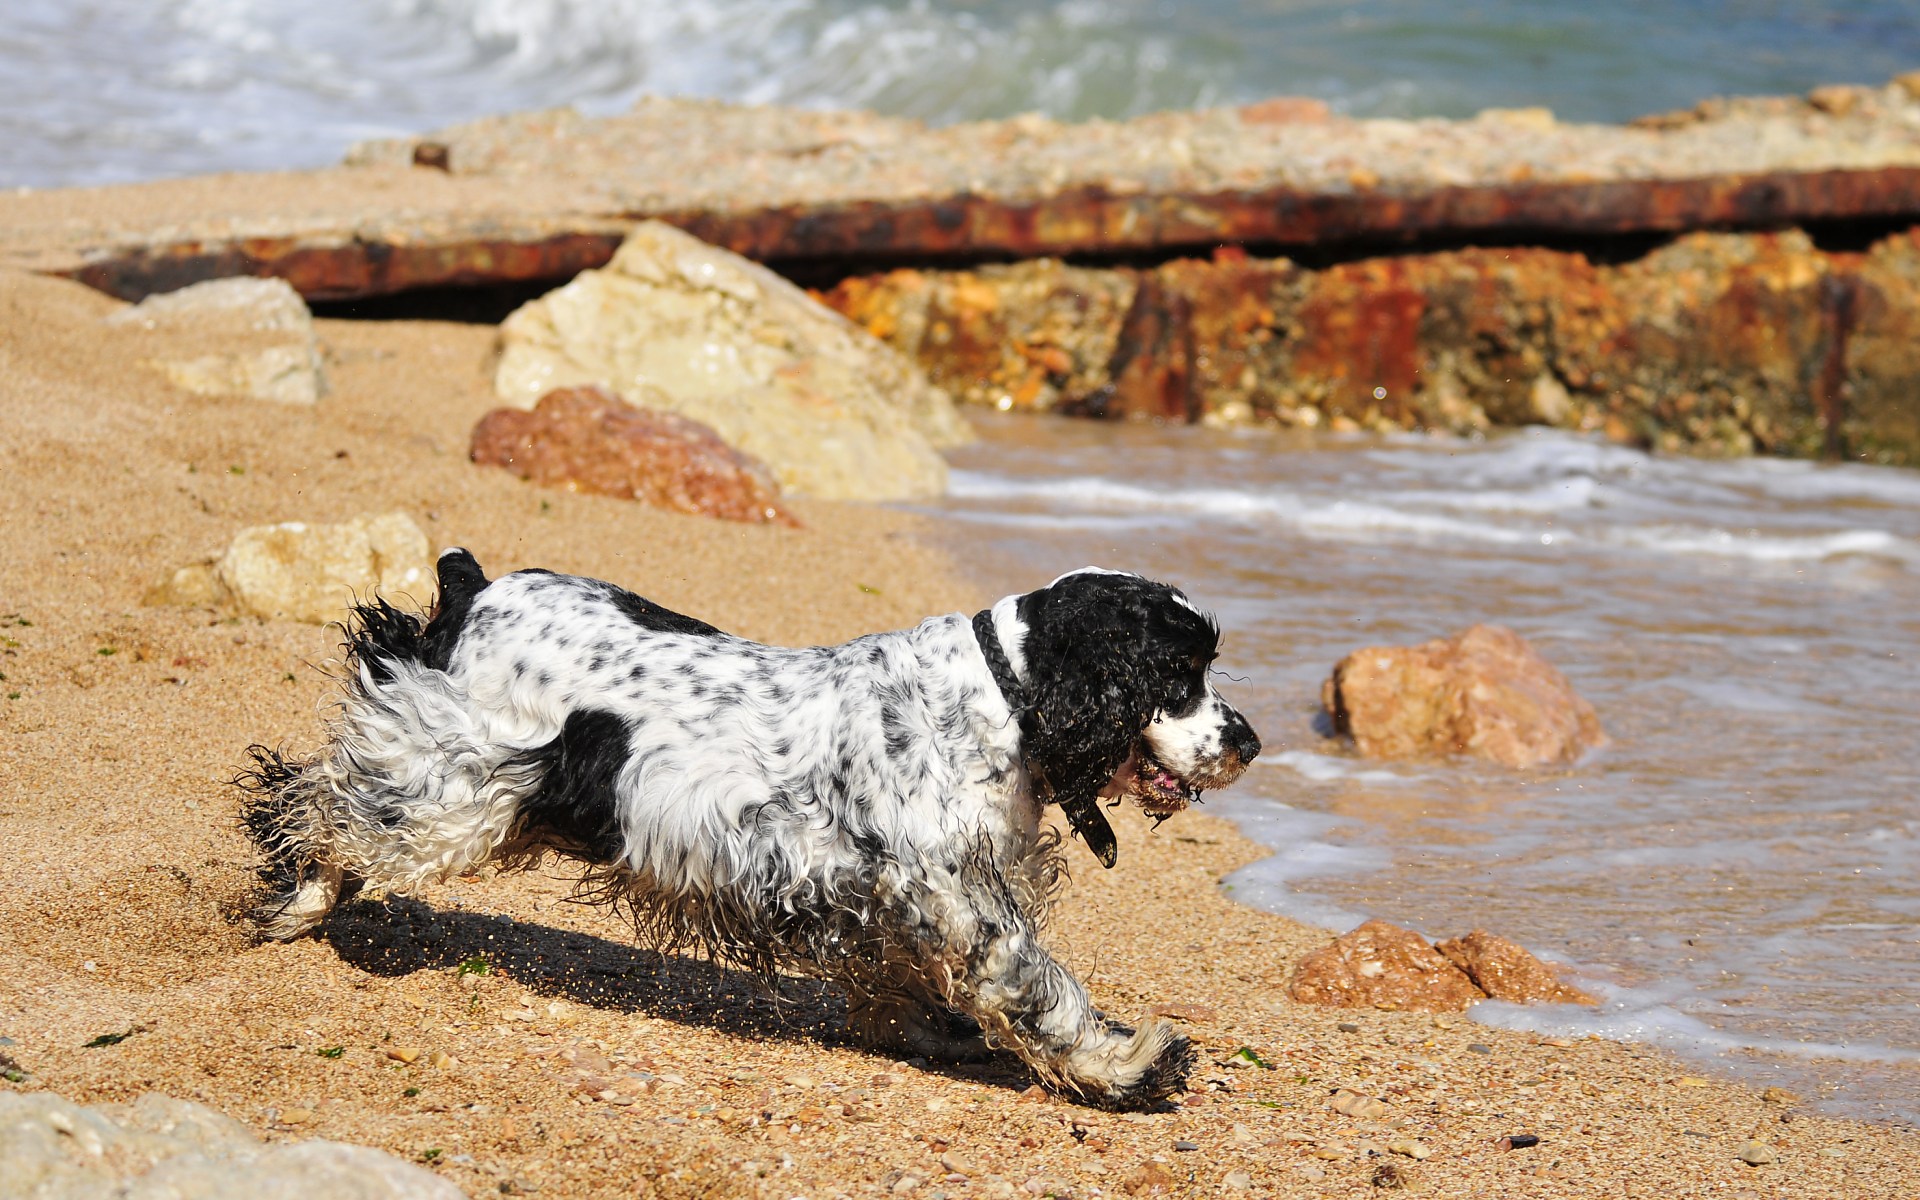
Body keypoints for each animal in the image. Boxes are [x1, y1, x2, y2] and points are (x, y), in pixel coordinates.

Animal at [240, 549, 1259, 1105]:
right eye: (1179, 676)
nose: (1248, 741)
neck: (1000, 697)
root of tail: (471, 590)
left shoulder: (881, 895)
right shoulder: (960, 896)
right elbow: (1037, 989)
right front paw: (1130, 1066)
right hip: (453, 780)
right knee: (318, 801)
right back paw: (295, 902)